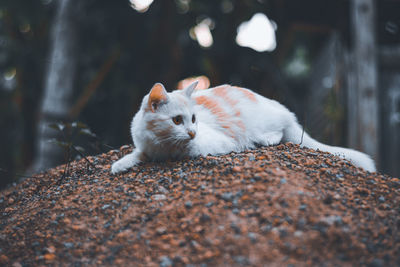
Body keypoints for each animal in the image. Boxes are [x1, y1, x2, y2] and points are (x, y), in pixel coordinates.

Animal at [111, 81, 376, 174]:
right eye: (177, 120)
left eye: (194, 119)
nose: (192, 132)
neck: (161, 143)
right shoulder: (146, 146)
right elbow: (138, 154)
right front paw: (120, 164)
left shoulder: (215, 143)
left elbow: (186, 151)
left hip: (267, 123)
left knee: (281, 132)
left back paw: (266, 140)